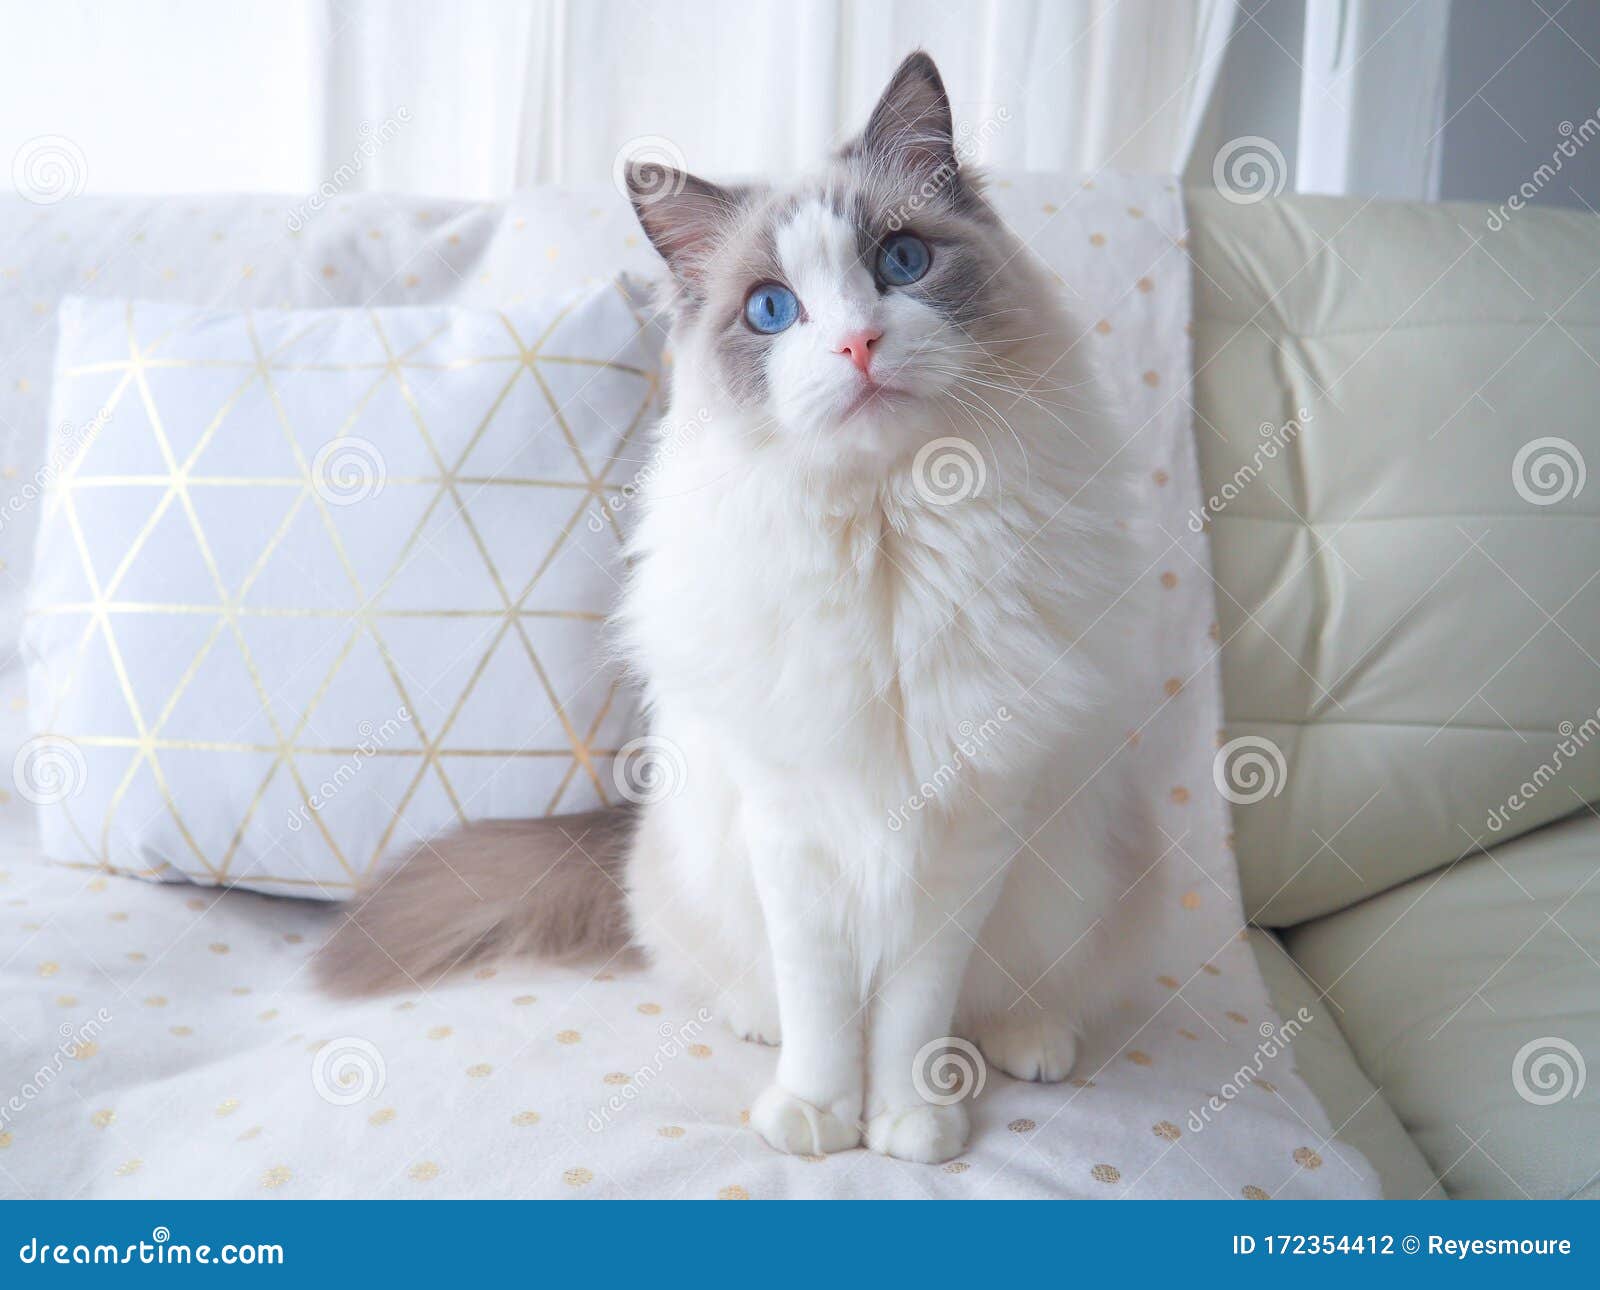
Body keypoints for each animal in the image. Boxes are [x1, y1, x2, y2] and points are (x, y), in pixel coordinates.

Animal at [318, 50, 1158, 1165]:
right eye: (771, 311)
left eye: (901, 261)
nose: (857, 344)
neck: (883, 544)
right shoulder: (792, 826)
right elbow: (823, 1007)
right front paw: (815, 1119)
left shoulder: (965, 829)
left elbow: (911, 1012)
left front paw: (907, 1123)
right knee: (743, 982)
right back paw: (760, 1026)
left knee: (1019, 994)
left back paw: (1027, 1042)